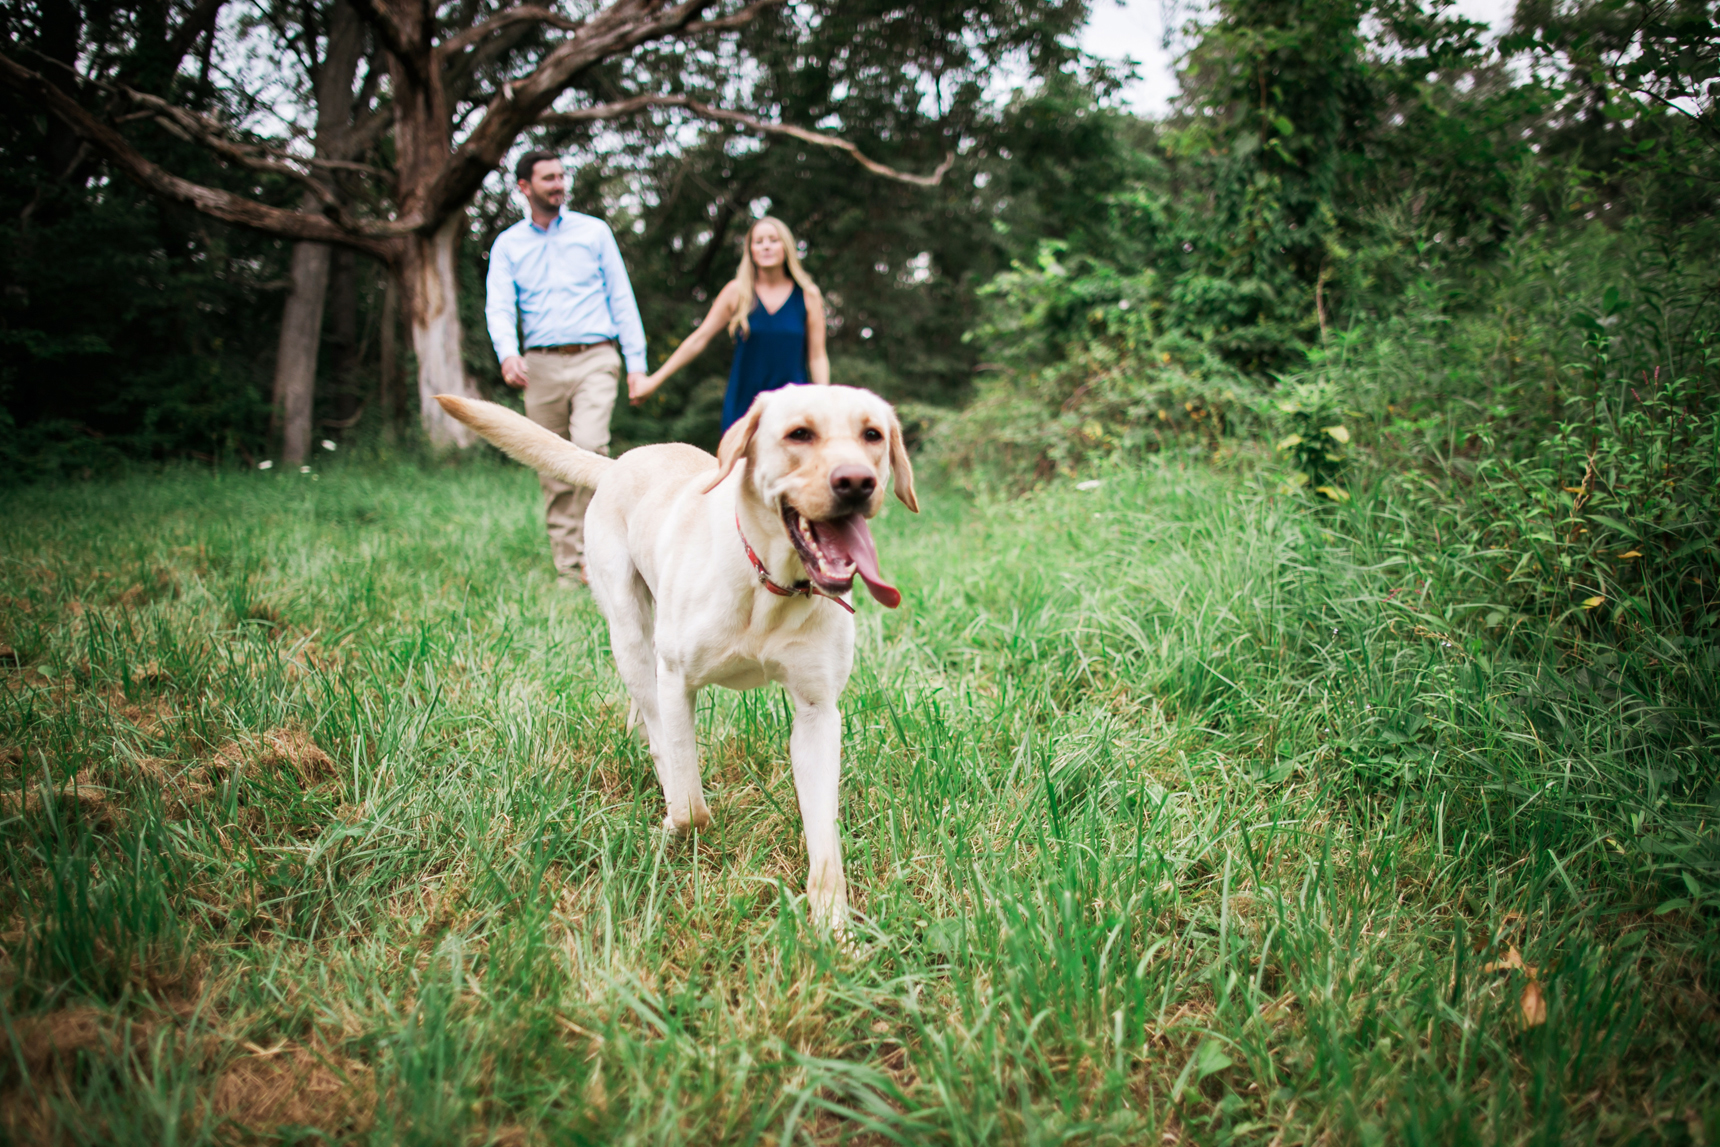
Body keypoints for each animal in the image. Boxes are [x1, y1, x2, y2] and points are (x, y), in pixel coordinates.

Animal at [436, 388, 915, 935]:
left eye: (872, 435)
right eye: (800, 434)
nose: (857, 482)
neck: (769, 583)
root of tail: (620, 462)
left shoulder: (818, 713)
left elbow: (826, 850)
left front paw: (836, 934)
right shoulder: (676, 680)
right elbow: (690, 803)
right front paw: (672, 823)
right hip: (630, 634)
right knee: (655, 722)